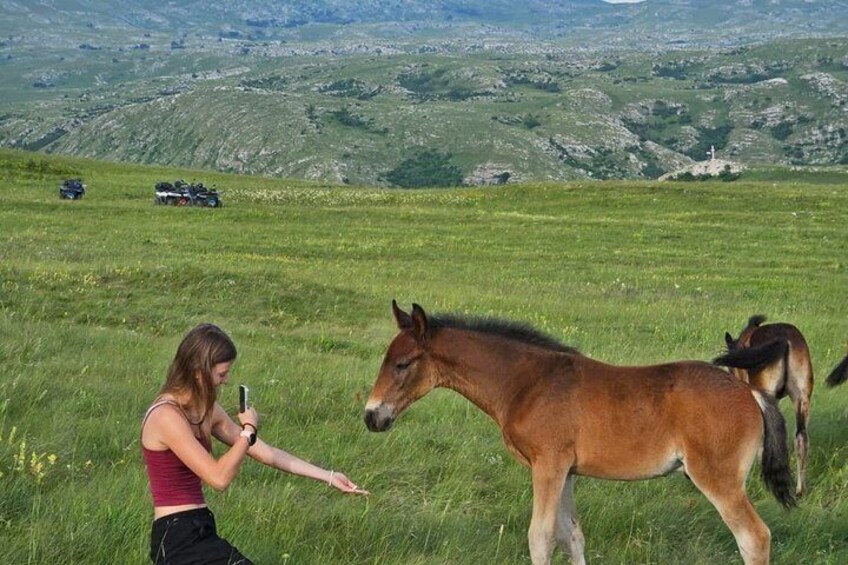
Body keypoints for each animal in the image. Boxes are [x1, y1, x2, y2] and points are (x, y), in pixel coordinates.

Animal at [364, 302, 795, 565]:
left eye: (403, 364)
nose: (372, 416)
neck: (527, 383)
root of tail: (750, 392)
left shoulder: (547, 465)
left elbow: (539, 536)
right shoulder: (566, 471)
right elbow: (571, 536)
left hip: (717, 479)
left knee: (754, 538)